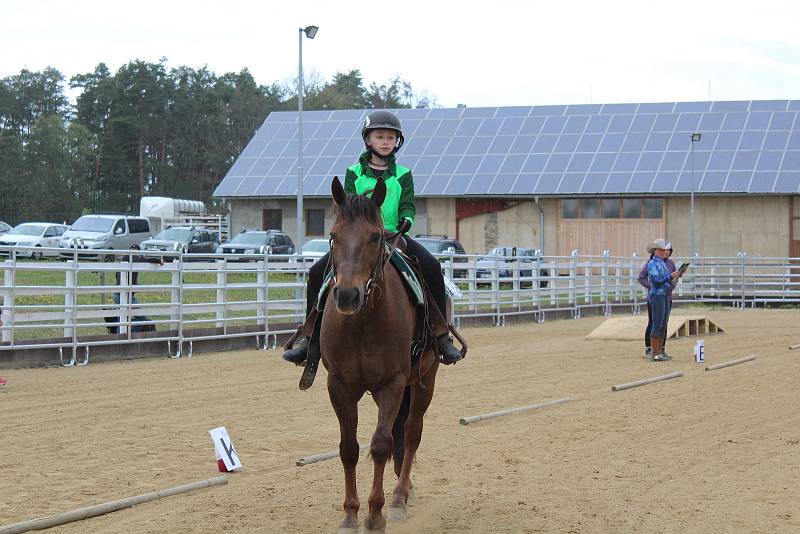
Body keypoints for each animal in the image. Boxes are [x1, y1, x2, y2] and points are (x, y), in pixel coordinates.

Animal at [322, 178, 440, 532]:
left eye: (375, 236)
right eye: (333, 235)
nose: (347, 295)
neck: (362, 323)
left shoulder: (392, 383)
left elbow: (379, 445)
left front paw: (375, 513)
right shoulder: (338, 385)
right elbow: (349, 448)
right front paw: (350, 514)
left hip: (425, 379)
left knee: (411, 432)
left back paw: (400, 495)